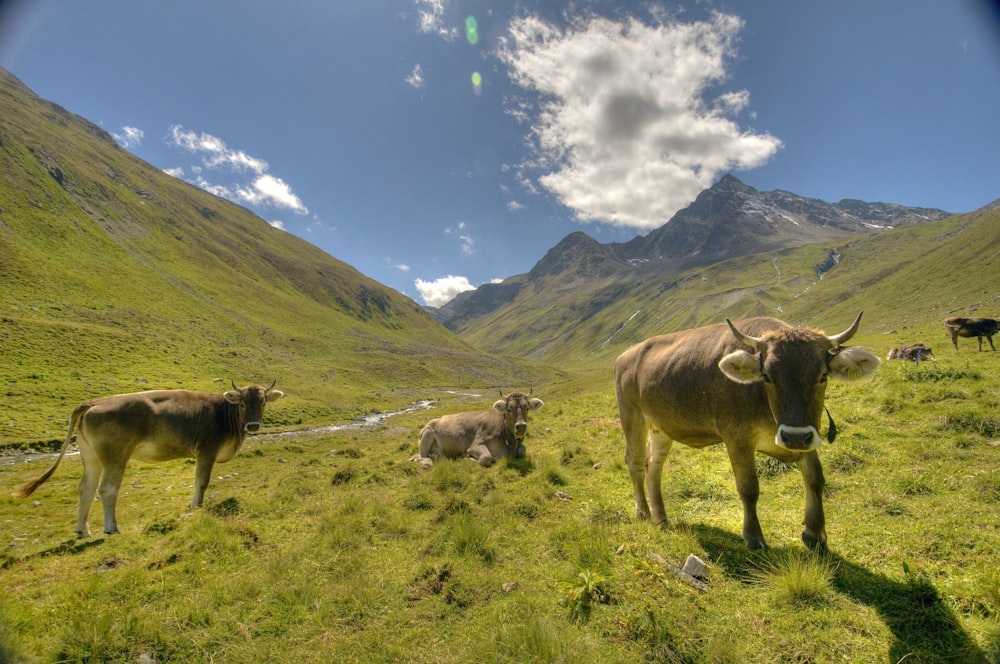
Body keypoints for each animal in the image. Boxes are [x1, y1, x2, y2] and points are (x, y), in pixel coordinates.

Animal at [13, 382, 284, 536]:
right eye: (242, 404)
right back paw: (111, 528)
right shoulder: (206, 450)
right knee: (107, 489)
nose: (253, 425)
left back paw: (83, 530)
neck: (224, 414)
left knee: (85, 489)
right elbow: (201, 482)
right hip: (115, 454)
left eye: (262, 402)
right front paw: (196, 507)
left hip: (90, 456)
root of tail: (95, 402)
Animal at [410, 392, 544, 470]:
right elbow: (486, 458)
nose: (521, 426)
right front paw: (466, 459)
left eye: (527, 408)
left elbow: (522, 450)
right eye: (509, 409)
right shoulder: (475, 445)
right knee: (421, 456)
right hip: (427, 433)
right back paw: (428, 463)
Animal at [612, 314, 880, 552]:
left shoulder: (807, 433)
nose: (793, 437)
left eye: (823, 376)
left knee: (654, 465)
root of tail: (626, 355)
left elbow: (815, 478)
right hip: (631, 414)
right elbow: (748, 487)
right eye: (768, 376)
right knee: (636, 462)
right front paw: (753, 537)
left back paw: (661, 516)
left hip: (661, 425)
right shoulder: (736, 437)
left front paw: (815, 534)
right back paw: (643, 512)